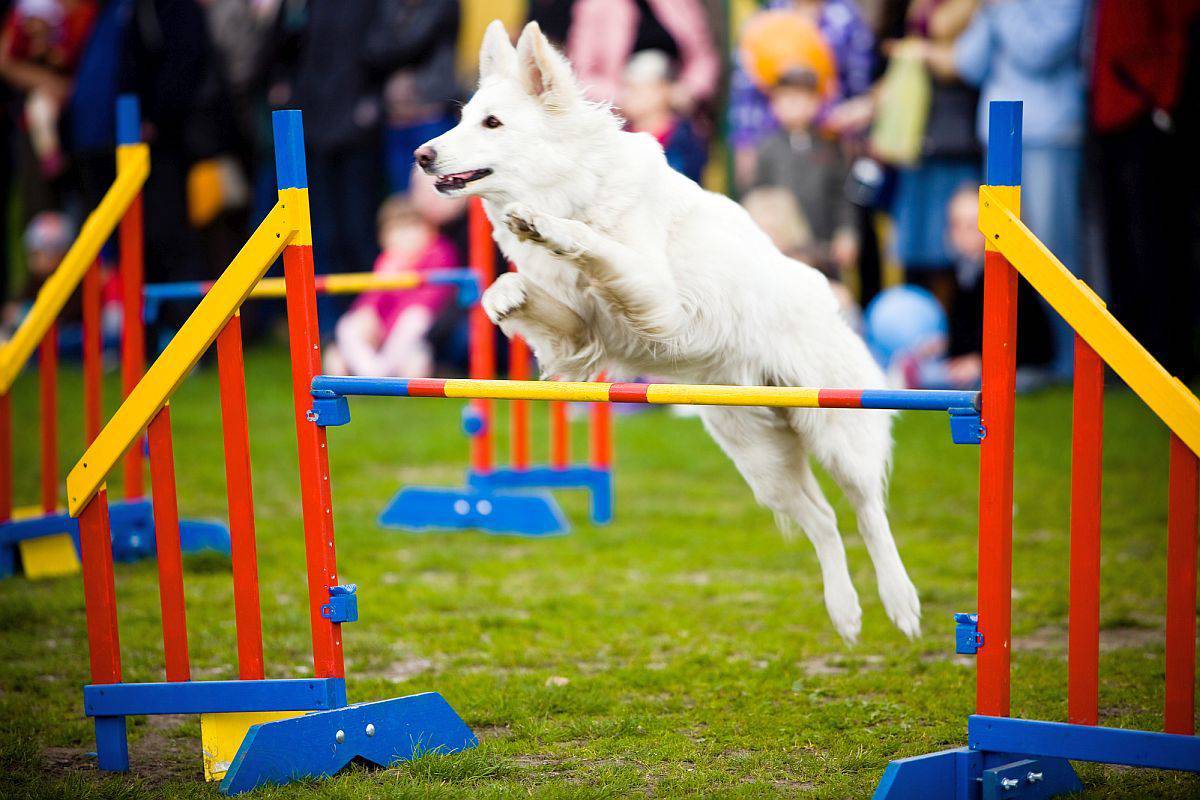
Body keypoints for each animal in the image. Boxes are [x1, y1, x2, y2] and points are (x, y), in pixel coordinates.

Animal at [415, 20, 916, 642]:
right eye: (463, 117)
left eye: (492, 123)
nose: (421, 155)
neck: (578, 185)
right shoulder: (578, 340)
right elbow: (517, 293)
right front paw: (506, 294)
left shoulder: (658, 296)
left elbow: (594, 244)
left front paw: (550, 228)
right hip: (761, 460)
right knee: (822, 520)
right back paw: (844, 612)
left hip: (836, 431)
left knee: (869, 513)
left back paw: (899, 602)